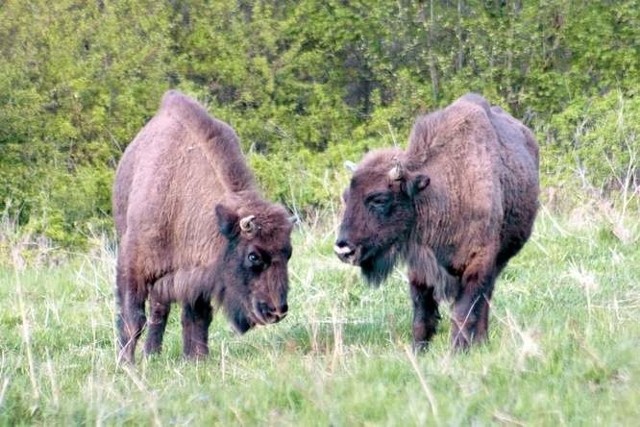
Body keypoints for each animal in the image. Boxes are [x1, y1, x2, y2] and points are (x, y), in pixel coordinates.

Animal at [114, 90, 294, 364]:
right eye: (253, 256)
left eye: (289, 253)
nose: (276, 311)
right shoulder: (133, 267)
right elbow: (133, 319)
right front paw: (126, 364)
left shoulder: (198, 277)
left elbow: (197, 318)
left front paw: (197, 359)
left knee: (161, 310)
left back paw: (153, 353)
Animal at [336, 93, 540, 352]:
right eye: (346, 196)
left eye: (379, 199)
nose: (343, 248)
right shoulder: (420, 267)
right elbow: (422, 314)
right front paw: (418, 350)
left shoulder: (478, 262)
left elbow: (463, 311)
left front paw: (457, 350)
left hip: (499, 260)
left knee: (485, 299)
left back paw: (481, 341)